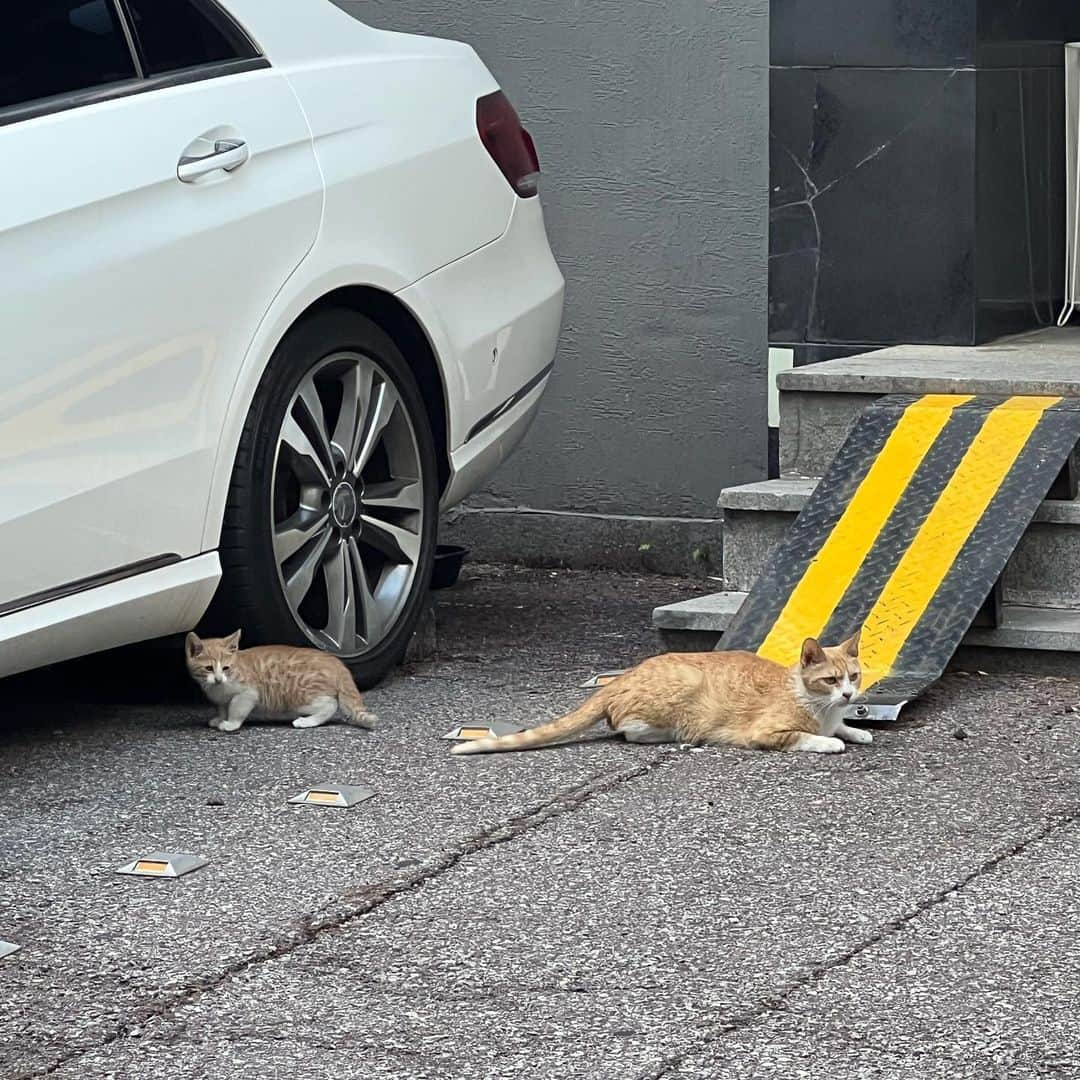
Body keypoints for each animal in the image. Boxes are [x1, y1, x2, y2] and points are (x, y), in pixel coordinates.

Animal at [182, 630, 375, 734]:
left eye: (226, 668)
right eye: (208, 668)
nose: (218, 679)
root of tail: (336, 663)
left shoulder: (248, 693)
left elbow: (237, 709)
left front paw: (230, 723)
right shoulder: (221, 699)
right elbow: (222, 708)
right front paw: (220, 718)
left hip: (298, 696)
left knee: (330, 704)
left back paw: (307, 721)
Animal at [453, 630, 868, 756]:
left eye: (854, 677)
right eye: (831, 680)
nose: (849, 696)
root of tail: (623, 676)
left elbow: (842, 727)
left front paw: (855, 730)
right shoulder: (766, 733)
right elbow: (806, 737)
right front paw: (830, 741)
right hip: (686, 684)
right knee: (626, 729)